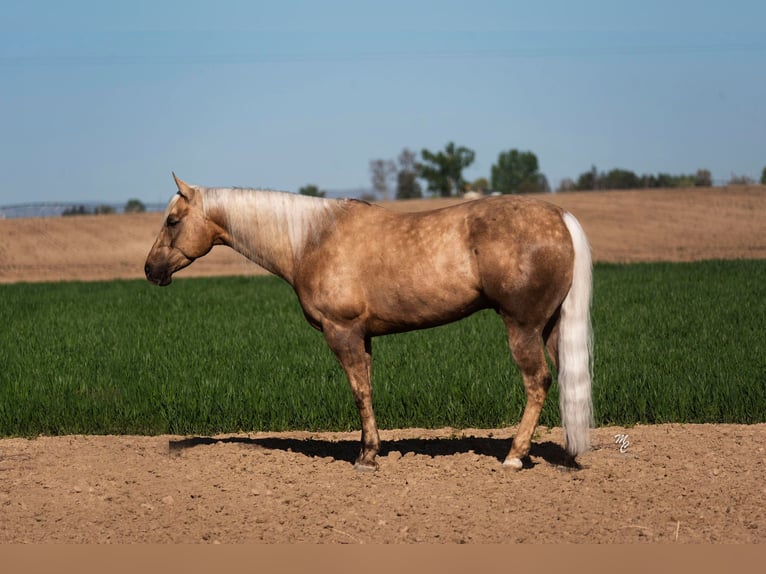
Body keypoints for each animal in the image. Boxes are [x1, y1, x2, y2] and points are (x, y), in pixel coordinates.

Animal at [147, 174, 596, 472]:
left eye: (172, 221)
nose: (151, 270)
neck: (311, 239)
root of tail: (559, 215)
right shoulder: (363, 337)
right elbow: (368, 388)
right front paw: (371, 449)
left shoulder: (342, 332)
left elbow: (359, 392)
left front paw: (365, 457)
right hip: (550, 327)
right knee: (566, 380)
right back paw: (567, 453)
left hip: (522, 326)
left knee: (537, 382)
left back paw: (514, 457)